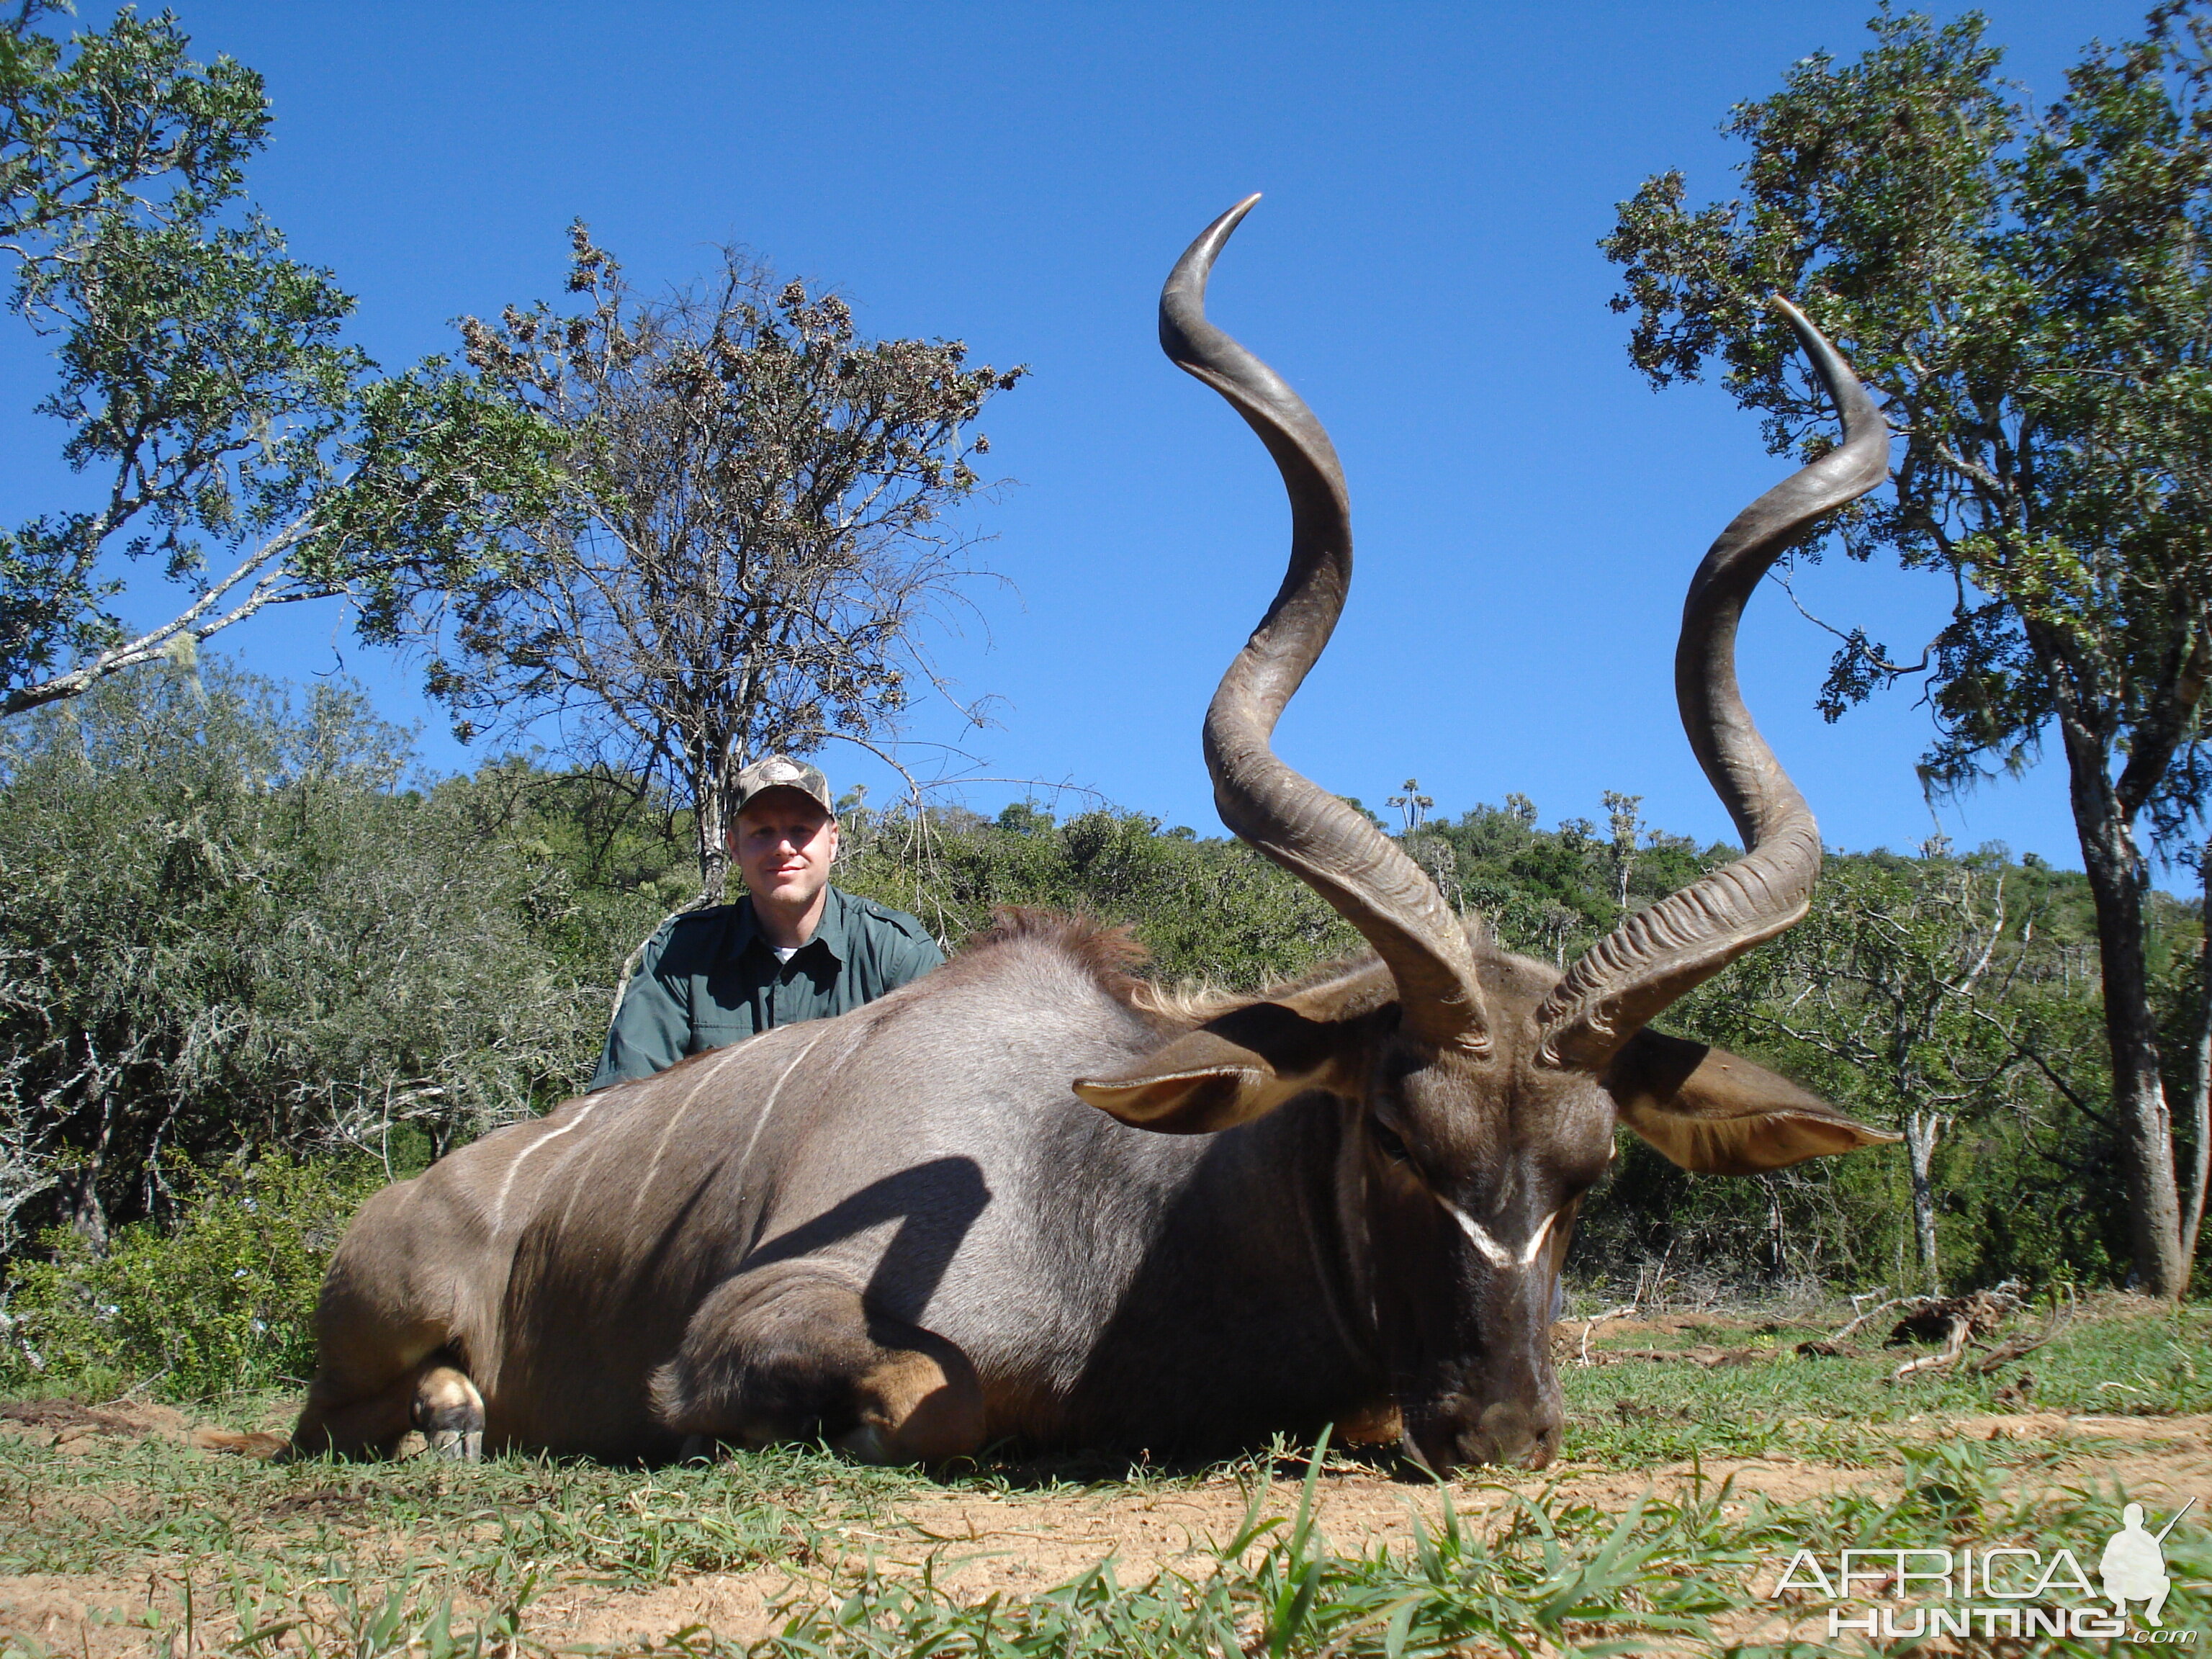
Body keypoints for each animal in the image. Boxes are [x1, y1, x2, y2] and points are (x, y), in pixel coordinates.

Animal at [289, 201, 1902, 1478]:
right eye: (1394, 1133)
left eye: (1594, 1169)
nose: (1503, 1431)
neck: (1107, 1197)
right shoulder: (742, 1331)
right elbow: (926, 1399)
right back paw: (446, 1419)